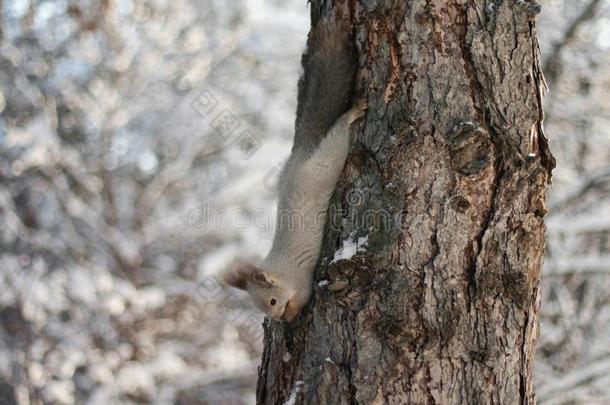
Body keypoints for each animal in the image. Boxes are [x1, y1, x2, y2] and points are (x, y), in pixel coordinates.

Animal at [223, 19, 366, 322]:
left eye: (273, 301)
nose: (278, 318)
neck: (280, 271)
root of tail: (299, 155)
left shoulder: (300, 282)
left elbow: (303, 298)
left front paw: (292, 315)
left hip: (323, 168)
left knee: (336, 141)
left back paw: (351, 115)